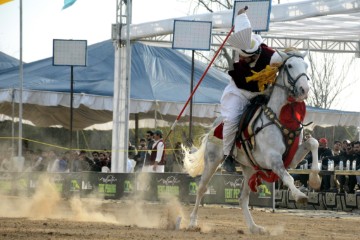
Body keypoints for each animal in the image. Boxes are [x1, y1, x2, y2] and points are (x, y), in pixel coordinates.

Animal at [183, 50, 320, 234]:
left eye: (306, 66)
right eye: (290, 65)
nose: (304, 89)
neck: (279, 117)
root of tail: (215, 125)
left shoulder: (291, 160)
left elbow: (313, 142)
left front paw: (315, 180)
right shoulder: (273, 160)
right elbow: (289, 178)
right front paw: (299, 195)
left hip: (249, 168)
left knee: (242, 198)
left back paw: (254, 227)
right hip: (212, 161)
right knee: (201, 189)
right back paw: (192, 223)